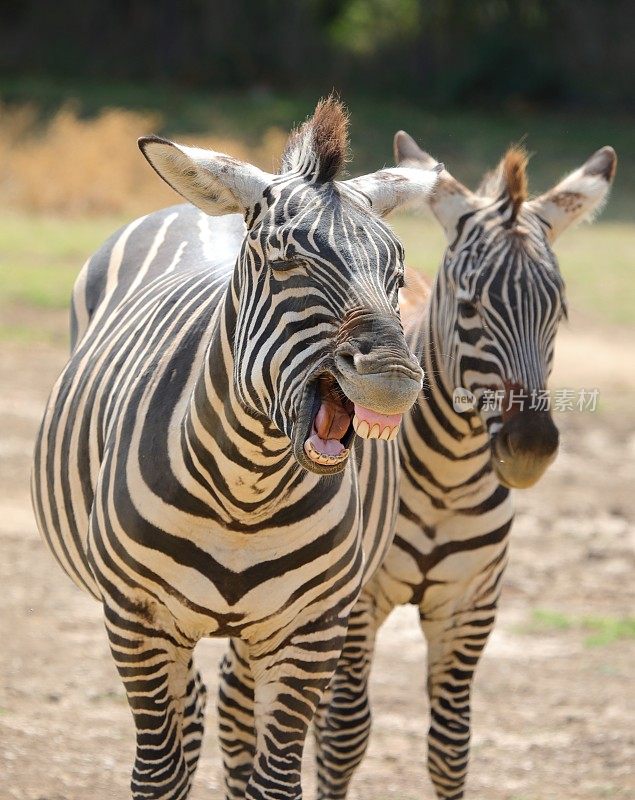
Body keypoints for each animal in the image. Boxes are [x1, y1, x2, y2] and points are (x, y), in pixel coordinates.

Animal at [29, 101, 442, 800]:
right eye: (284, 261)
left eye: (395, 269)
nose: (391, 376)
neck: (248, 486)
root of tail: (200, 210)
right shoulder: (137, 619)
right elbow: (158, 772)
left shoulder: (310, 629)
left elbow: (274, 779)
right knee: (193, 718)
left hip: (257, 631)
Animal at [310, 133, 620, 800]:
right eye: (472, 307)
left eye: (559, 311)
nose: (530, 448)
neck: (447, 477)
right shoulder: (361, 601)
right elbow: (342, 738)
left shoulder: (472, 605)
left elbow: (451, 747)